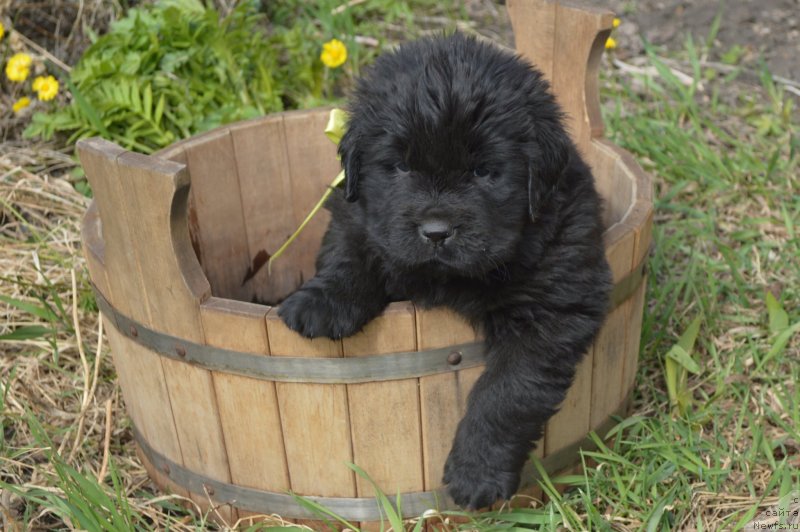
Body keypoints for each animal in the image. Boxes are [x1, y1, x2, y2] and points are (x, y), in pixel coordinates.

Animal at [278, 34, 608, 512]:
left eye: (484, 171)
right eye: (400, 166)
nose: (436, 232)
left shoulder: (550, 309)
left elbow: (506, 393)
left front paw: (477, 473)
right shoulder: (359, 213)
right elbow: (351, 250)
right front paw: (322, 302)